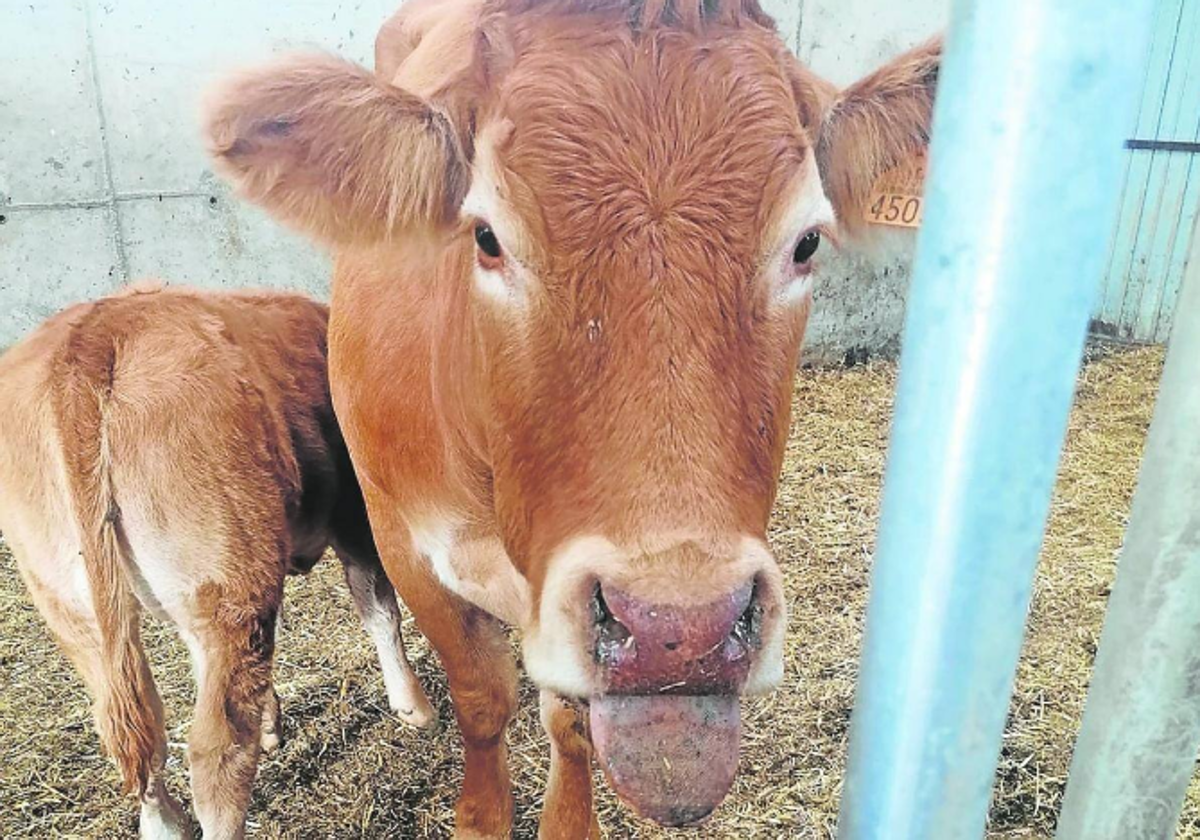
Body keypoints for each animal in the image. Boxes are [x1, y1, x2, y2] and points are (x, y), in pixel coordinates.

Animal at [0, 284, 434, 839]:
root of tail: (93, 337)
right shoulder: (355, 513)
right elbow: (380, 607)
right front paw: (416, 709)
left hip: (81, 613)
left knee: (141, 736)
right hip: (231, 585)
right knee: (214, 751)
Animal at [203, 0, 940, 835]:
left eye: (807, 241)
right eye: (487, 236)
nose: (677, 631)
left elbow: (571, 722)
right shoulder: (404, 540)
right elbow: (482, 697)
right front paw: (480, 811)